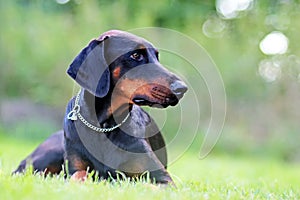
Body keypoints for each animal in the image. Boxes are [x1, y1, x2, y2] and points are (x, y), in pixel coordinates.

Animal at [14, 30, 188, 185]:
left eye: (157, 57)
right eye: (135, 55)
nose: (182, 88)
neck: (103, 125)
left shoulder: (162, 178)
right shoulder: (75, 169)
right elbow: (79, 175)